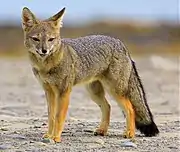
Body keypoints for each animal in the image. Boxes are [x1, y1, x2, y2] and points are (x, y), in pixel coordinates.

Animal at [21, 6, 159, 142]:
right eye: (36, 39)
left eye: (51, 39)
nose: (44, 50)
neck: (46, 66)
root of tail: (120, 43)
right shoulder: (49, 91)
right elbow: (51, 117)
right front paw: (49, 135)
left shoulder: (63, 92)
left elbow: (59, 116)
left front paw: (56, 137)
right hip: (94, 93)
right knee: (108, 107)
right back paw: (102, 130)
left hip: (114, 90)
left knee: (130, 109)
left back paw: (130, 133)